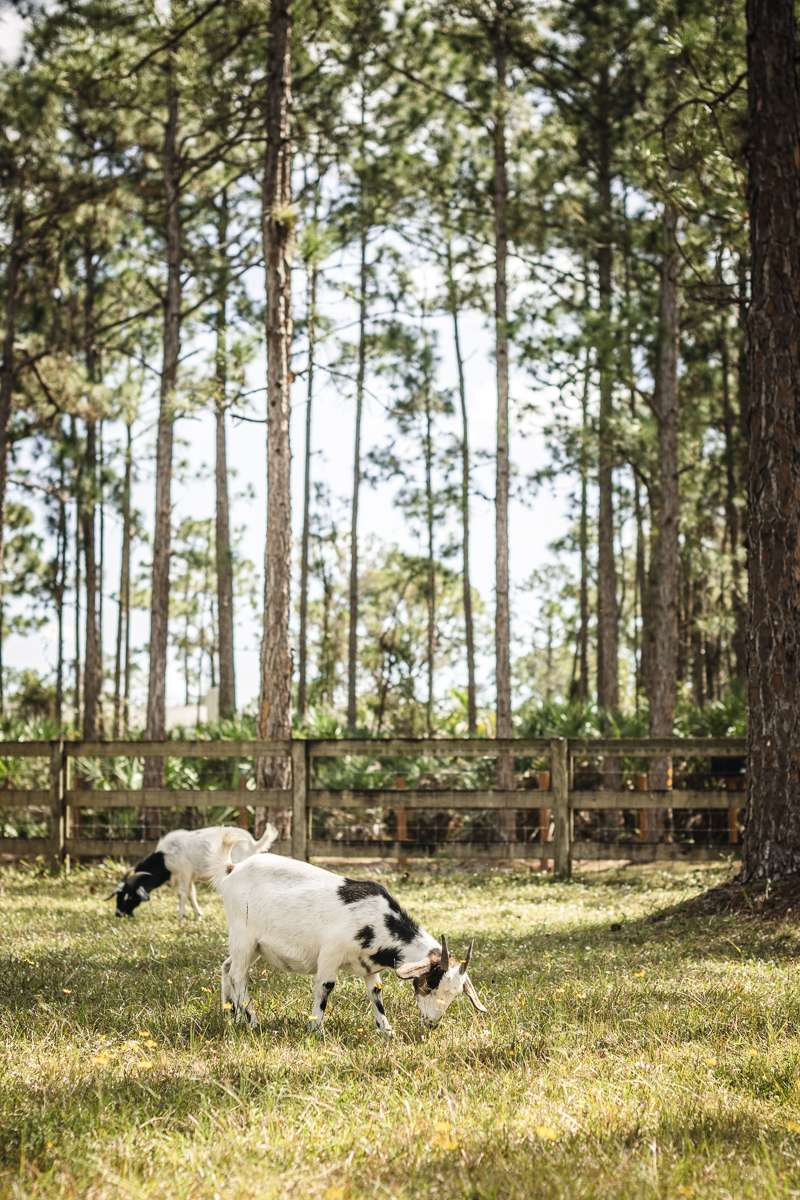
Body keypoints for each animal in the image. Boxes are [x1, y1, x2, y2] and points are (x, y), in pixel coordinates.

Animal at [107, 824, 278, 920]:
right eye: (118, 896)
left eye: (129, 897)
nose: (118, 914)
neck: (164, 857)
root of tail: (253, 844)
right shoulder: (188, 876)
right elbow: (191, 894)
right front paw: (199, 915)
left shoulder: (184, 872)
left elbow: (182, 894)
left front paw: (180, 917)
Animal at [217, 853, 487, 1036]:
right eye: (430, 983)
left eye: (455, 994)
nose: (432, 1023)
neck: (377, 919)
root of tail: (233, 869)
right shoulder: (330, 954)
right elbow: (326, 986)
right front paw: (315, 1029)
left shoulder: (368, 966)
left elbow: (376, 992)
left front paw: (387, 1032)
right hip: (243, 937)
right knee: (239, 974)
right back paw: (252, 1021)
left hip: (254, 947)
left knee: (227, 967)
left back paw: (231, 1015)